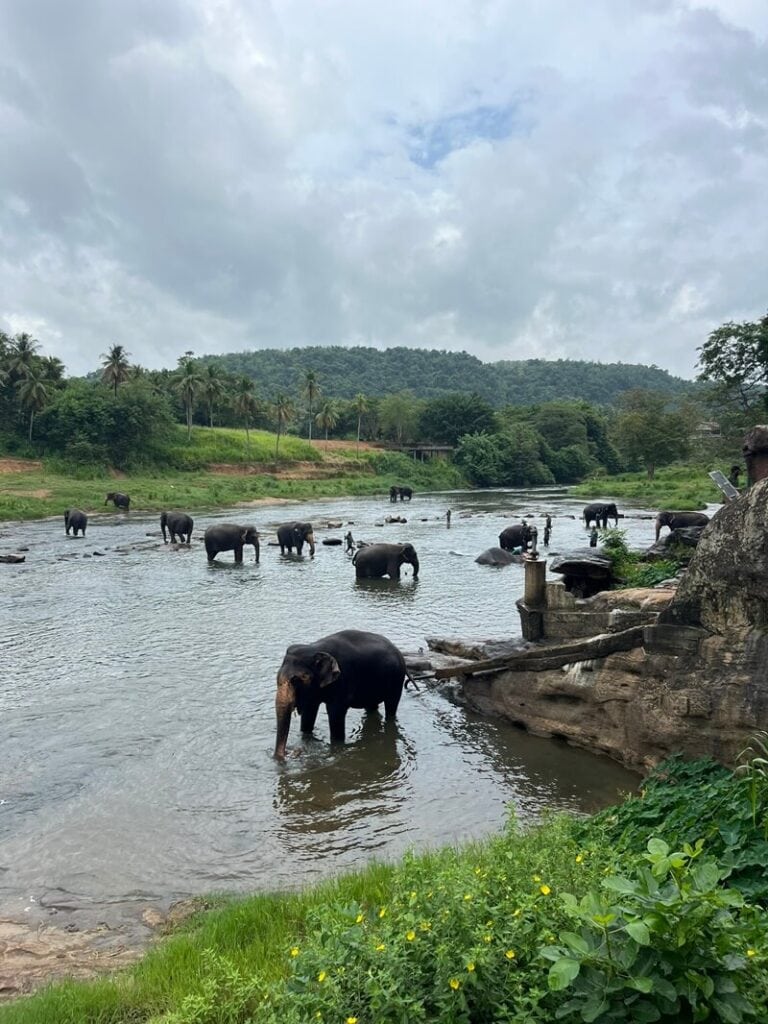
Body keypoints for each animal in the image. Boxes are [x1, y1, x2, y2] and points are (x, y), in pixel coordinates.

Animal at [274, 629, 406, 758]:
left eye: (298, 679)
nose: (292, 752)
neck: (315, 648)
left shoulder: (342, 680)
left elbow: (335, 713)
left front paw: (337, 746)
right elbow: (309, 712)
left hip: (397, 679)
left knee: (391, 706)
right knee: (371, 706)